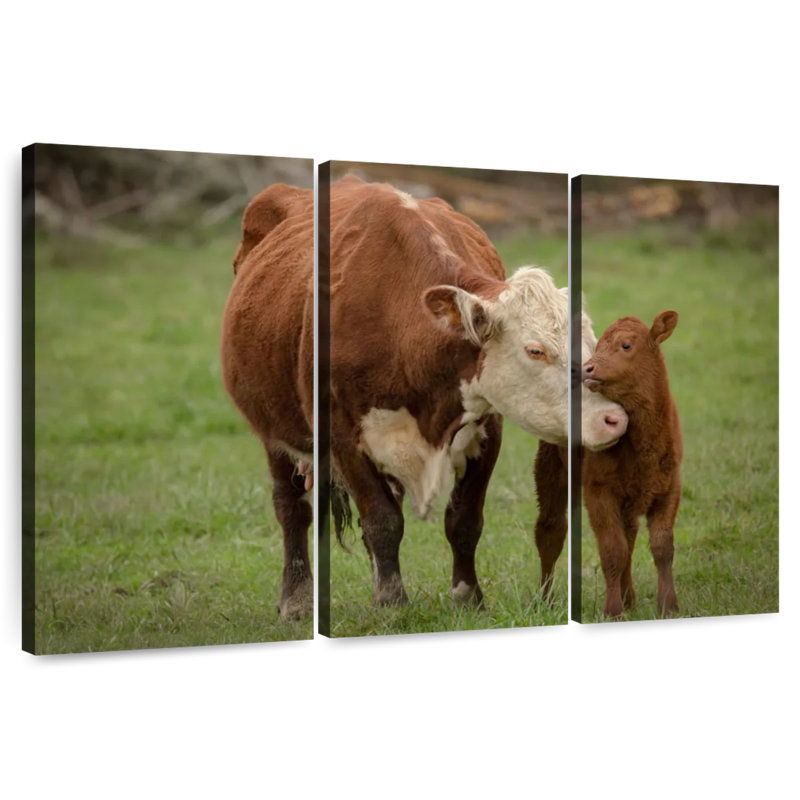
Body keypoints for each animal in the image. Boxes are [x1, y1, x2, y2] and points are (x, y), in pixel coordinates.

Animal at [329, 176, 627, 607]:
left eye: (590, 349)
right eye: (535, 350)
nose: (614, 419)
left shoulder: (488, 429)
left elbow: (465, 519)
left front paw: (467, 596)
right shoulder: (342, 436)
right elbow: (381, 520)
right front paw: (391, 603)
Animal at [582, 311, 682, 618]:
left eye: (626, 345)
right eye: (598, 345)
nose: (586, 368)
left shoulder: (670, 488)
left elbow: (662, 547)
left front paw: (669, 605)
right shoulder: (598, 492)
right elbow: (612, 551)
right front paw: (613, 610)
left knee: (630, 538)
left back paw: (629, 597)